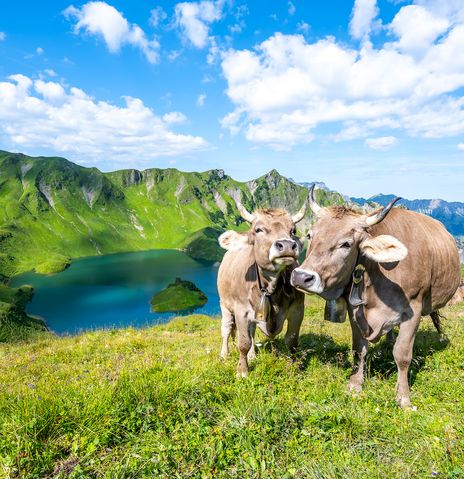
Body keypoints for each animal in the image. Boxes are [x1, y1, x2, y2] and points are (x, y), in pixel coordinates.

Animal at [218, 197, 308, 376]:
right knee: (226, 329)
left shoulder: (298, 309)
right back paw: (224, 354)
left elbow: (292, 341)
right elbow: (243, 342)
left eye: (293, 230)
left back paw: (252, 356)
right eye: (258, 229)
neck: (271, 288)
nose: (287, 245)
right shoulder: (241, 310)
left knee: (252, 331)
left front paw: (293, 368)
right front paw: (242, 371)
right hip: (224, 304)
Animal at [290, 188, 460, 408]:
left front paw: (404, 398)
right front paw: (355, 386)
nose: (301, 277)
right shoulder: (355, 309)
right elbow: (358, 349)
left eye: (346, 244)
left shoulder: (413, 310)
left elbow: (402, 354)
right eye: (310, 235)